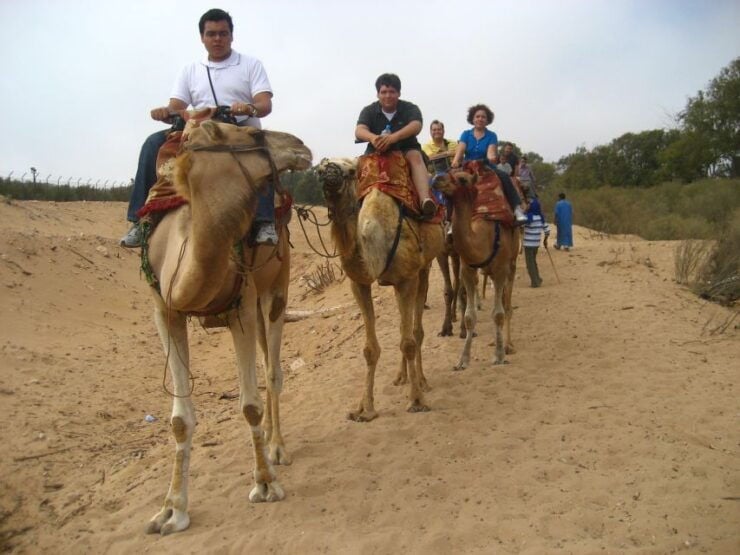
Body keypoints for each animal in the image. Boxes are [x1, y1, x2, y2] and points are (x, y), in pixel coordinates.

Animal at [142, 120, 311, 535]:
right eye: (253, 137)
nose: (301, 145)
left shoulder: (242, 305)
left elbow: (249, 404)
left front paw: (265, 485)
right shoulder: (165, 311)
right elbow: (179, 419)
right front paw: (171, 511)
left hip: (276, 285)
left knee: (273, 370)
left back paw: (277, 448)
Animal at [317, 155, 445, 421]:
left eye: (351, 171)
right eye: (321, 167)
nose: (328, 172)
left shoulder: (407, 278)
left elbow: (409, 341)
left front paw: (417, 400)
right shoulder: (359, 283)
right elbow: (369, 349)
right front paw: (364, 408)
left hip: (424, 268)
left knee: (415, 331)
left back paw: (422, 381)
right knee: (403, 329)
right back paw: (401, 377)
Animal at [432, 166, 519, 369]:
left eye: (463, 179)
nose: (437, 179)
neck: (482, 239)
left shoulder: (500, 270)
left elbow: (498, 314)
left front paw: (499, 356)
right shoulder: (468, 270)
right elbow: (469, 316)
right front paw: (462, 360)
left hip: (511, 263)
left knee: (507, 305)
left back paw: (508, 345)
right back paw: (495, 341)